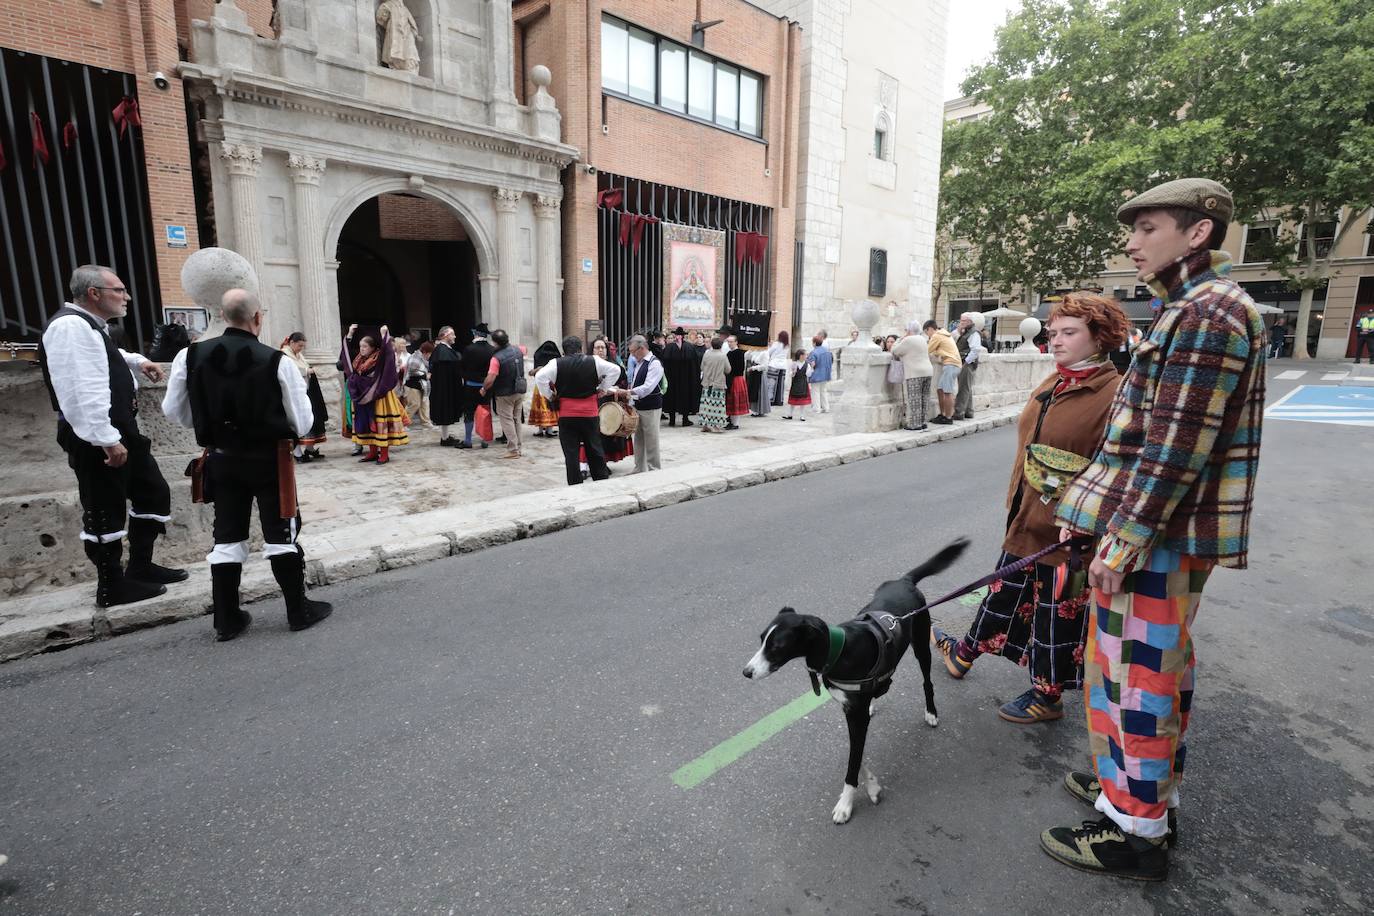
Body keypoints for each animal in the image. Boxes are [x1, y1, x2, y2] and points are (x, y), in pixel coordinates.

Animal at [741, 541, 967, 829]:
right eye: (761, 639)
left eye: (777, 646)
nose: (746, 672)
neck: (838, 651)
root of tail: (904, 580)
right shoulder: (849, 710)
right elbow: (857, 754)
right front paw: (871, 784)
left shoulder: (855, 716)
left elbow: (853, 761)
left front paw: (846, 803)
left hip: (921, 645)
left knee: (927, 682)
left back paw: (931, 712)